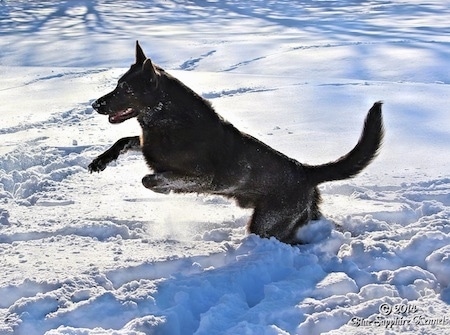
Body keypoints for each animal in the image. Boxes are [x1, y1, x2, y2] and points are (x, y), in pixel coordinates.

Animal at [89, 41, 384, 244]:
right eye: (117, 84)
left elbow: (149, 179)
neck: (168, 119)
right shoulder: (146, 144)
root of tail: (305, 171)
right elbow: (124, 140)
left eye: (126, 89)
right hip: (296, 216)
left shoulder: (203, 178)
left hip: (266, 224)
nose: (95, 104)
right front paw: (100, 162)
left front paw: (165, 189)